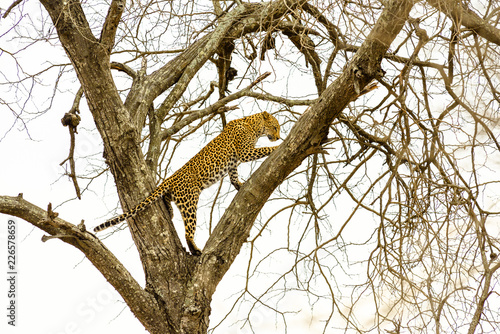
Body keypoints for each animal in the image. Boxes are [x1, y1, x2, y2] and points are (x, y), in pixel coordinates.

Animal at [94, 112, 282, 256]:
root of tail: (170, 178)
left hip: (177, 197)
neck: (253, 125)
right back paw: (195, 249)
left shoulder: (233, 162)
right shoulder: (244, 152)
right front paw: (276, 147)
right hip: (189, 201)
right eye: (275, 127)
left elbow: (233, 176)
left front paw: (239, 185)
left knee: (167, 200)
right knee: (187, 230)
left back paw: (169, 211)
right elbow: (263, 150)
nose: (278, 137)